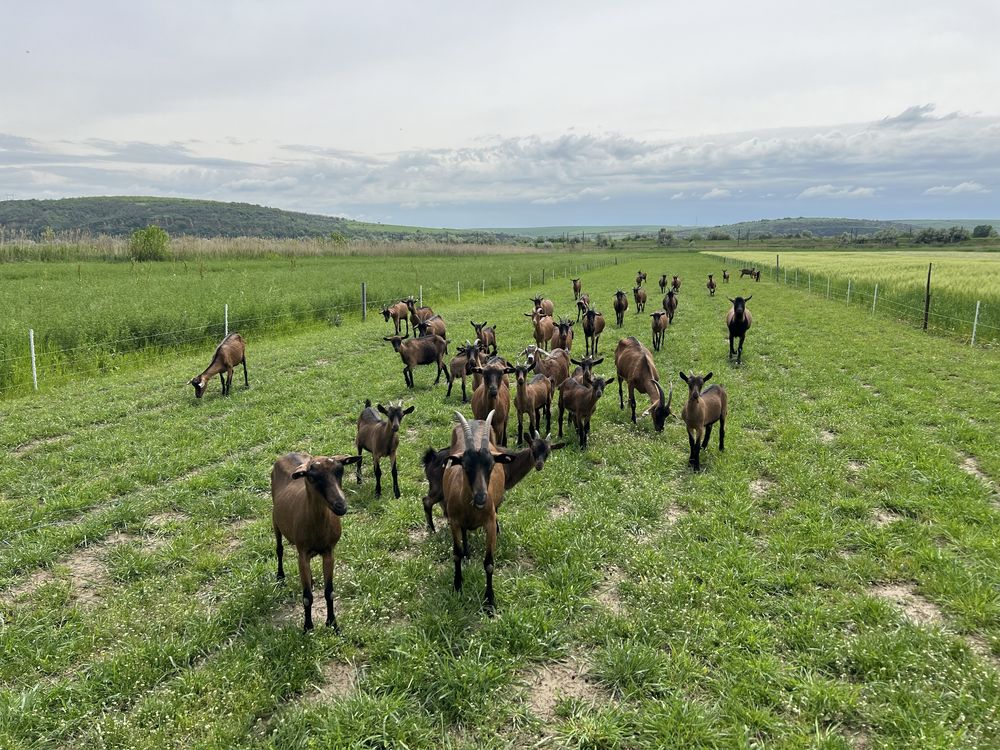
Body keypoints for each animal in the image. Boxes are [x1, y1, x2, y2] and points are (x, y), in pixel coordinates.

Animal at [272, 452, 362, 636]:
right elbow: (307, 597)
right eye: (312, 477)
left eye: (340, 471)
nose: (341, 506)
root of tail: (289, 453)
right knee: (279, 549)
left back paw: (312, 580)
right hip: (274, 519)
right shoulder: (303, 554)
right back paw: (280, 576)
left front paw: (333, 624)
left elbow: (330, 593)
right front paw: (308, 628)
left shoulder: (329, 552)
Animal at [444, 414, 516, 612]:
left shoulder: (489, 523)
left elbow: (489, 564)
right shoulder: (454, 521)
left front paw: (490, 602)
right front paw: (457, 585)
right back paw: (467, 552)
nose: (481, 497)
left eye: (491, 466)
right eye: (465, 466)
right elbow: (456, 554)